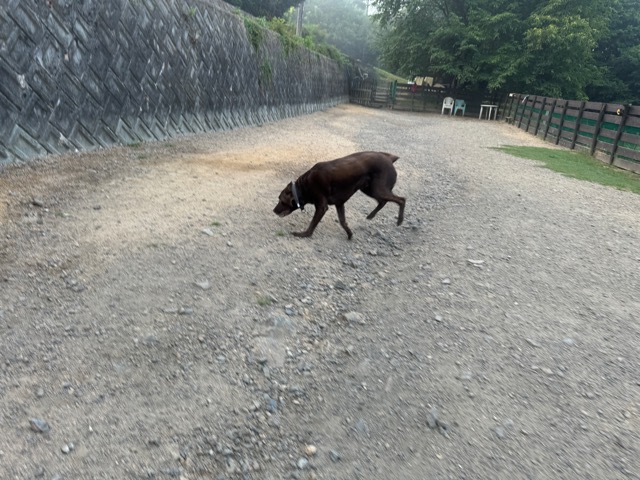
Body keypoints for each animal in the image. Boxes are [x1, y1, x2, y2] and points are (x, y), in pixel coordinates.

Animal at [273, 151, 405, 239]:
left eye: (280, 200)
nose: (274, 210)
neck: (304, 186)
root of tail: (389, 158)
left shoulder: (322, 207)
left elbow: (312, 224)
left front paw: (304, 234)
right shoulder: (339, 203)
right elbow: (342, 222)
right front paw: (350, 234)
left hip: (377, 189)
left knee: (401, 199)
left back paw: (399, 221)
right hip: (369, 189)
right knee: (383, 201)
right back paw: (371, 216)